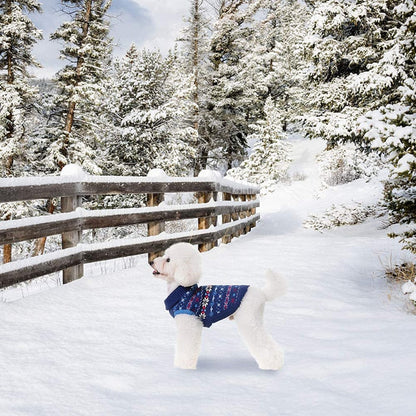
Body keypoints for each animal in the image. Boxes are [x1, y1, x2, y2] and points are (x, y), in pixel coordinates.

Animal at [151, 242, 288, 368]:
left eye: (168, 260)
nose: (151, 261)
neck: (182, 291)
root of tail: (262, 293)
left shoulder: (189, 324)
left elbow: (186, 349)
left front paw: (183, 367)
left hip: (249, 320)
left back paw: (272, 365)